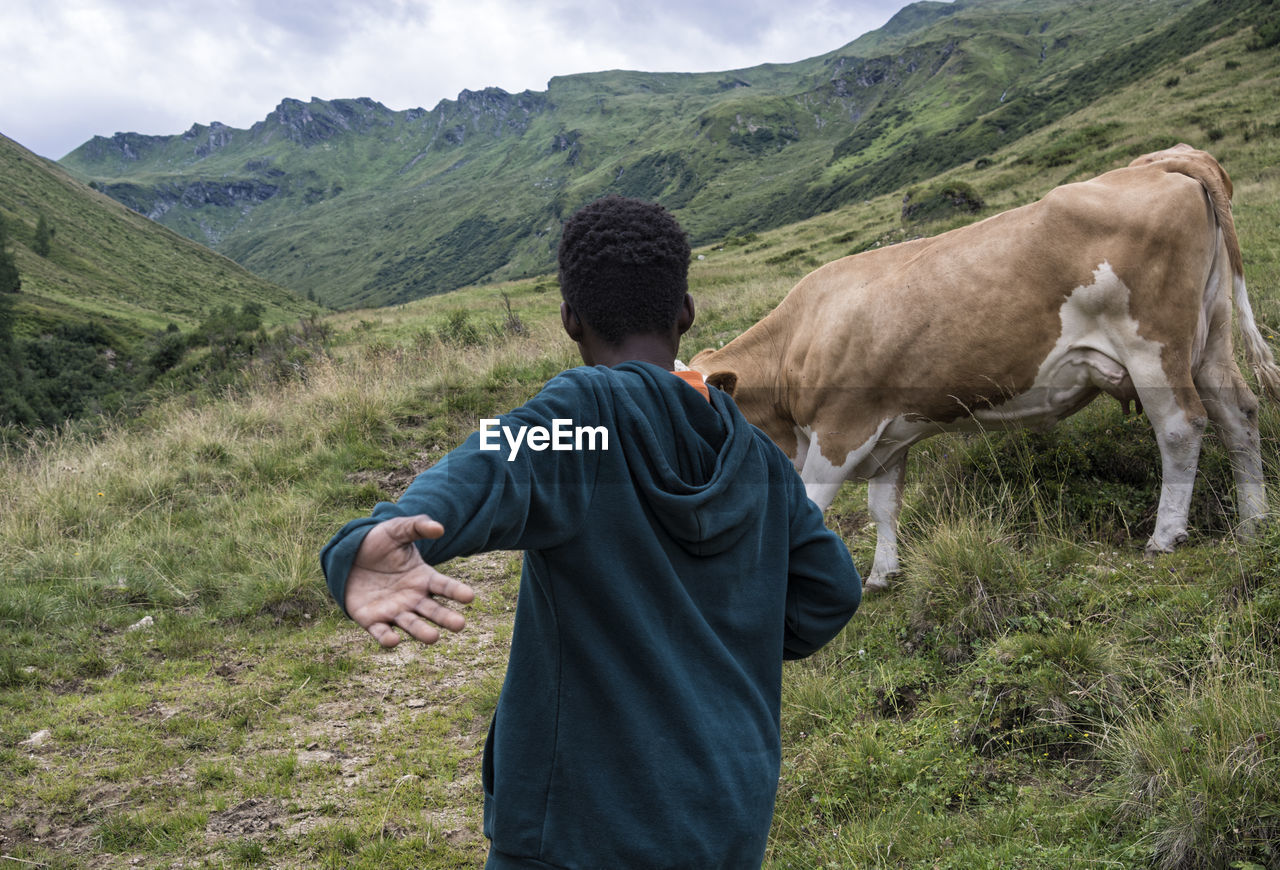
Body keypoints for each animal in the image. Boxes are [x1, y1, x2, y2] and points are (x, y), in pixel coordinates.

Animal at [696, 145, 1274, 591]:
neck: (799, 337)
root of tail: (1165, 161)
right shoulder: (888, 435)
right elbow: (884, 507)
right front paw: (883, 575)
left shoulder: (840, 430)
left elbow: (814, 510)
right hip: (1210, 337)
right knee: (1239, 413)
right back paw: (1254, 522)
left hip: (1153, 344)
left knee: (1181, 426)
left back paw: (1165, 536)